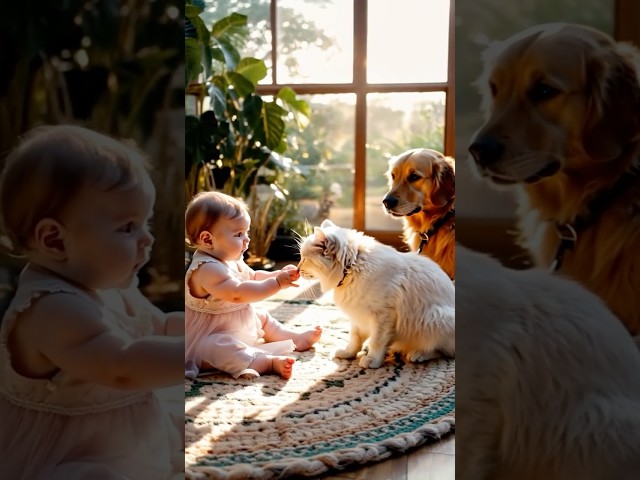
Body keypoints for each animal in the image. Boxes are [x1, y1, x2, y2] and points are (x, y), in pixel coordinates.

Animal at [296, 219, 452, 370]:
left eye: (303, 259)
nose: (297, 269)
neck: (353, 267)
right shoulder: (358, 317)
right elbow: (355, 339)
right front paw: (349, 353)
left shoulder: (382, 316)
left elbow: (377, 341)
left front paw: (372, 360)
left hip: (434, 317)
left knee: (442, 351)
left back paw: (418, 354)